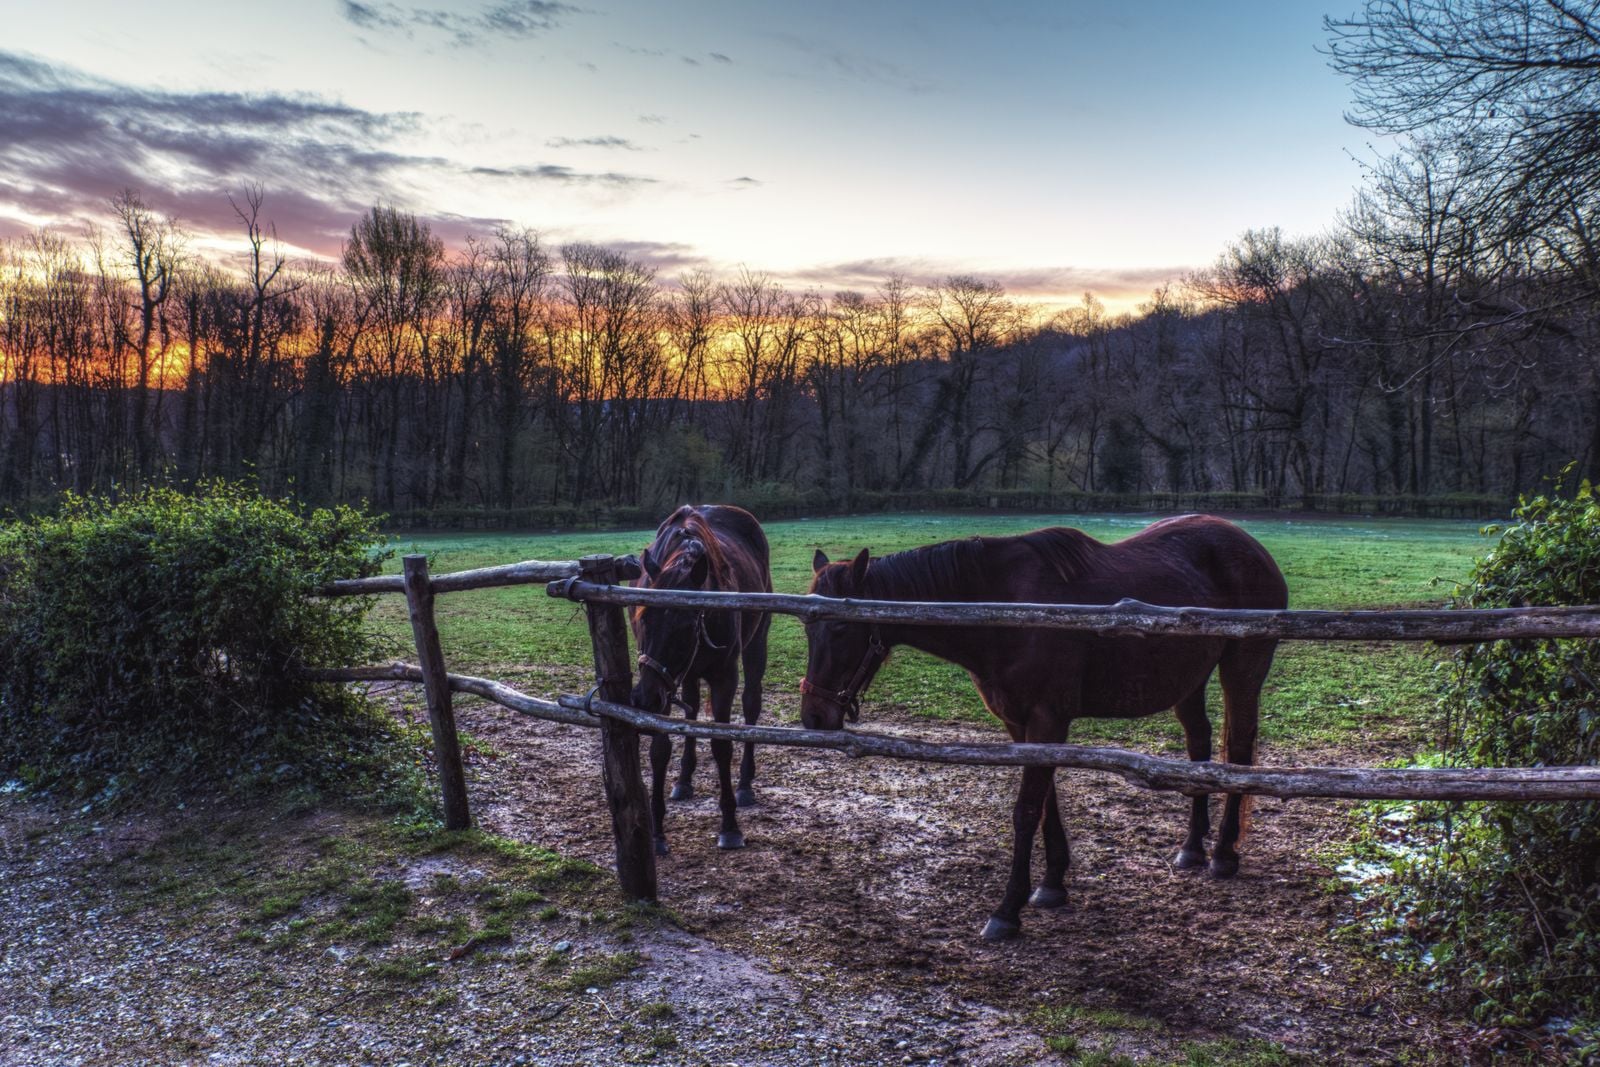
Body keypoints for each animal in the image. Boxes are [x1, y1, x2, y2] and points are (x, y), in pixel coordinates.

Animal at [629, 505, 773, 855]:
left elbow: (722, 744)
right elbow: (660, 748)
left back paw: (745, 785)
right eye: (644, 618)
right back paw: (683, 781)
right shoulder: (663, 682)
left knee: (751, 706)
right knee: (692, 709)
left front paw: (730, 827)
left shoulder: (723, 677)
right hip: (684, 676)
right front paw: (657, 833)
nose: (644, 699)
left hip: (756, 643)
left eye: (685, 625)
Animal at [800, 514, 1287, 941]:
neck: (1004, 610)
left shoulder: (1047, 719)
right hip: (1188, 679)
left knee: (1238, 751)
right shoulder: (1021, 724)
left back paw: (1223, 854)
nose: (814, 717)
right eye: (808, 629)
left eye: (841, 628)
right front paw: (1052, 883)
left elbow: (1026, 810)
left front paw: (1007, 911)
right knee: (1199, 746)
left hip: (1242, 670)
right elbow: (1047, 801)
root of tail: (1249, 545)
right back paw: (1192, 846)